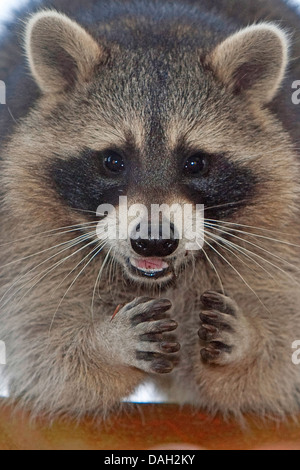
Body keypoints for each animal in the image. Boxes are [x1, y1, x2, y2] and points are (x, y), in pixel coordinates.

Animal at [0, 0, 300, 422]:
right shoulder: (26, 234)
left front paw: (249, 345)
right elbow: (46, 356)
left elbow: (273, 374)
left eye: (196, 163)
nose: (154, 242)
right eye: (113, 161)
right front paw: (105, 343)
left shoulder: (279, 233)